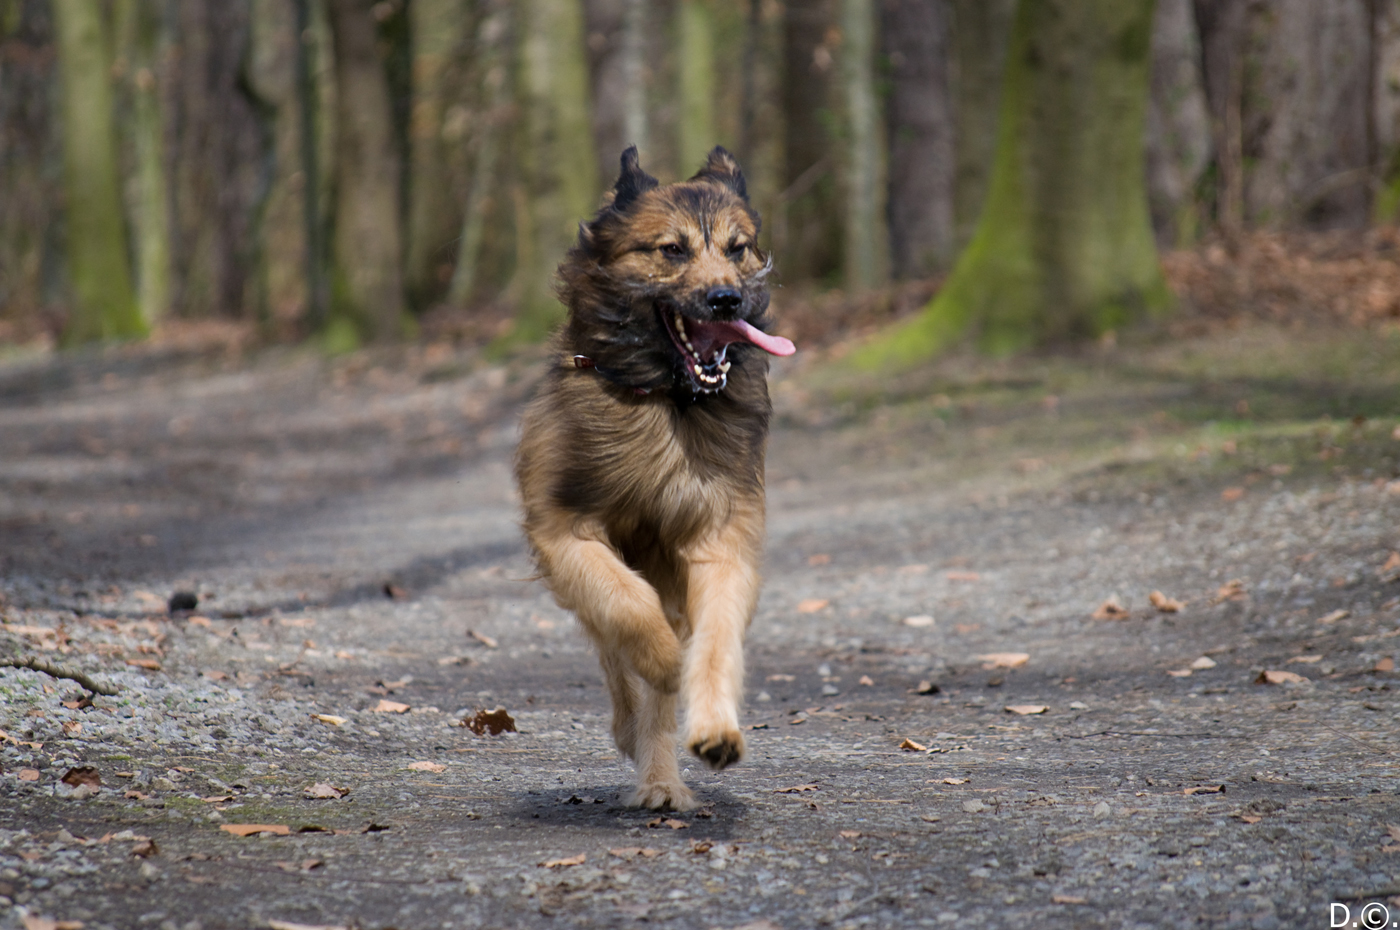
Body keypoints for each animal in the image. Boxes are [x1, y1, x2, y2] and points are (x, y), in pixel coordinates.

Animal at [518, 149, 800, 812]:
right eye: (672, 249)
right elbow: (627, 608)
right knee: (613, 650)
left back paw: (662, 781)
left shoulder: (720, 537)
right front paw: (666, 660)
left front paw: (713, 725)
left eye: (737, 248)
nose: (726, 300)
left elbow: (715, 637)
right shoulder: (564, 530)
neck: (669, 401)